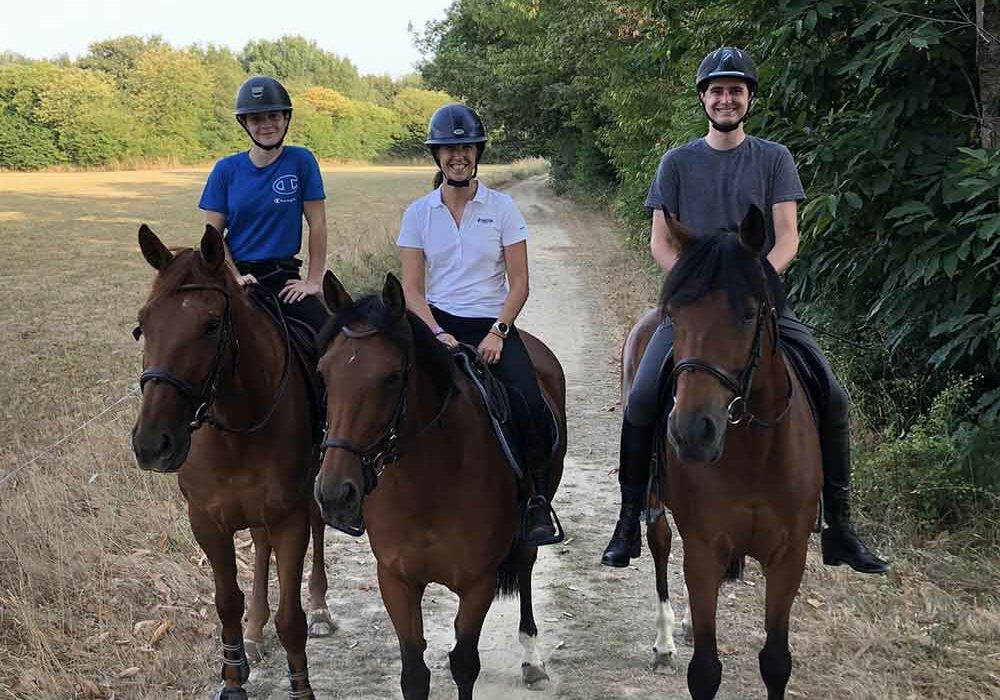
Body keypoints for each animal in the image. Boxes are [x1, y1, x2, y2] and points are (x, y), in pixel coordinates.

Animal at [131, 226, 336, 700]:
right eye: (143, 324)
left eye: (210, 324)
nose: (151, 444)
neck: (237, 427)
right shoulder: (206, 520)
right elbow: (227, 603)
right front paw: (232, 678)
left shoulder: (289, 518)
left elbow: (291, 619)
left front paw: (301, 688)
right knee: (259, 548)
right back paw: (255, 633)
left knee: (318, 526)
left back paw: (319, 606)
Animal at [312, 270, 564, 696]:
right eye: (323, 373)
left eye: (391, 377)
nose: (334, 494)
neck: (428, 484)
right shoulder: (395, 580)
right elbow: (414, 674)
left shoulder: (478, 583)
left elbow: (463, 664)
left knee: (526, 565)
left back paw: (532, 656)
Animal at [628, 209, 824, 700]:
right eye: (676, 315)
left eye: (749, 314)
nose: (692, 432)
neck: (755, 449)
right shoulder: (702, 549)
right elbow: (705, 671)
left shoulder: (788, 556)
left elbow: (775, 661)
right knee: (661, 544)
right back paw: (665, 641)